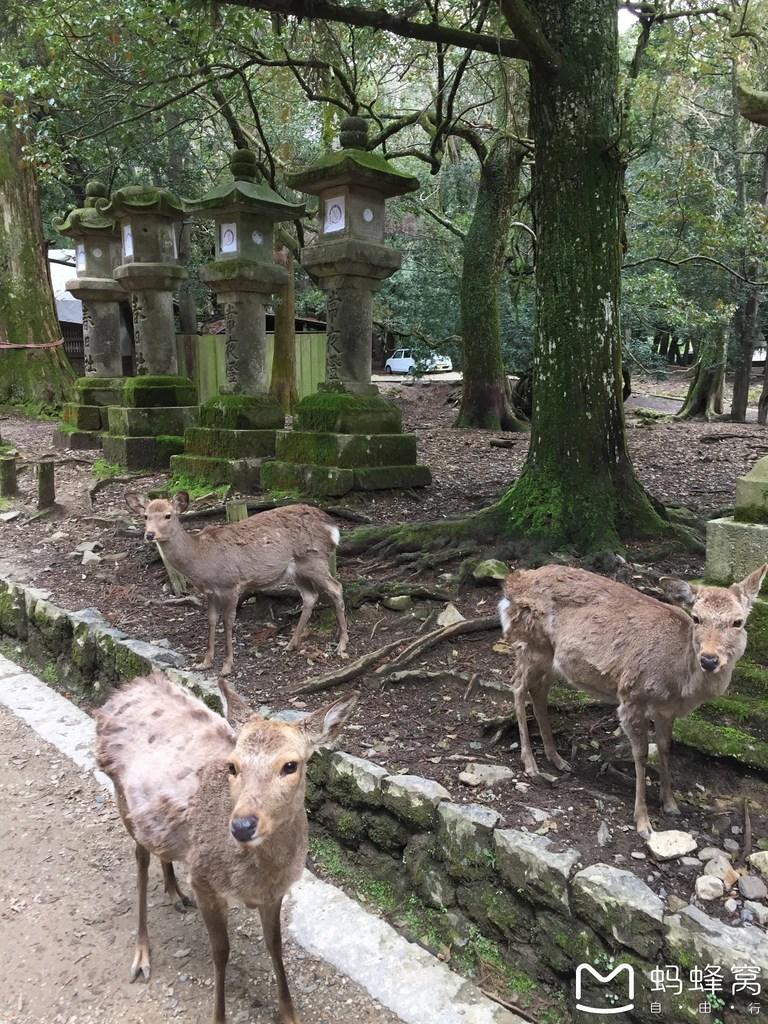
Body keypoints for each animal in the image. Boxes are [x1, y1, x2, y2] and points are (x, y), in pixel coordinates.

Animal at [95, 671, 358, 1024]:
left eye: (290, 765)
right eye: (232, 766)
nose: (242, 825)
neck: (257, 876)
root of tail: (128, 687)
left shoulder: (274, 893)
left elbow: (275, 945)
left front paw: (289, 1014)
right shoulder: (205, 880)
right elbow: (221, 952)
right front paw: (219, 1016)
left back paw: (175, 893)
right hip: (123, 799)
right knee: (140, 859)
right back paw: (141, 955)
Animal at [126, 491, 352, 675]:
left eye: (168, 515)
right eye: (145, 516)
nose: (150, 534)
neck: (201, 559)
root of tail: (332, 527)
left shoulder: (231, 584)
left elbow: (228, 621)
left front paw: (227, 666)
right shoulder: (209, 591)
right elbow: (211, 620)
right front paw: (205, 662)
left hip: (314, 558)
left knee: (336, 587)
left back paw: (342, 645)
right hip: (297, 568)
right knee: (310, 596)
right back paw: (291, 644)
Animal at [495, 565, 765, 835]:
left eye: (738, 622)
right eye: (697, 618)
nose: (709, 659)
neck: (679, 684)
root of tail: (512, 584)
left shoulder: (666, 711)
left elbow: (665, 748)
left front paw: (670, 803)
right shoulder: (631, 697)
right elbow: (642, 754)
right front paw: (643, 822)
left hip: (552, 659)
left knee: (539, 691)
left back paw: (557, 759)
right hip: (532, 643)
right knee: (518, 686)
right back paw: (531, 764)